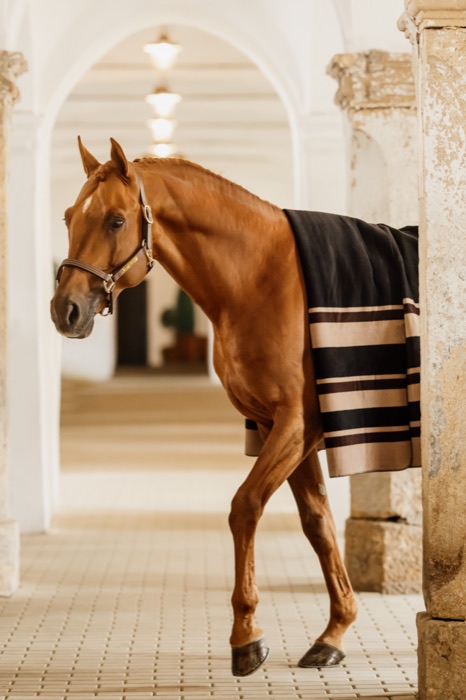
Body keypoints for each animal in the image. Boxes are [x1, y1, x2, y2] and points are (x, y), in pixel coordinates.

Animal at [51, 137, 359, 677]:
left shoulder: (296, 423)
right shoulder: (281, 424)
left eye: (115, 220)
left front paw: (246, 637)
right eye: (68, 217)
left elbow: (246, 506)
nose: (64, 310)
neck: (264, 278)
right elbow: (317, 522)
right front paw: (333, 633)